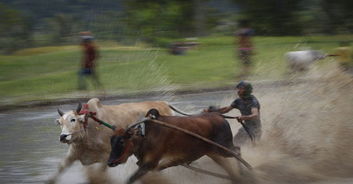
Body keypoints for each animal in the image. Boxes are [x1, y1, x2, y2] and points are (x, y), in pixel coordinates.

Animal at [107, 108, 245, 183]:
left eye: (122, 141)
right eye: (111, 141)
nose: (110, 162)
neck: (144, 135)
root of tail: (219, 116)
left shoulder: (151, 163)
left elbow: (130, 179)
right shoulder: (159, 164)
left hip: (224, 148)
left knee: (237, 151)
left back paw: (243, 174)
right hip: (213, 152)